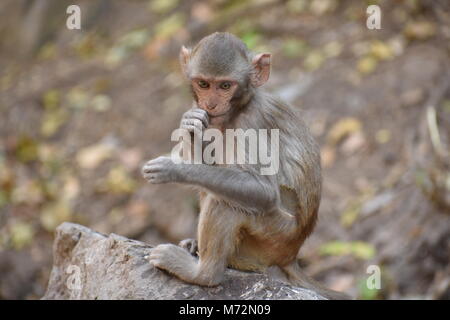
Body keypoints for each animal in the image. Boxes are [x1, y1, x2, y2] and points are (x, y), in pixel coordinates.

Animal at [142, 31, 350, 298]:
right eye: (203, 84)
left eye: (225, 86)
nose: (210, 105)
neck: (237, 110)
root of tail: (291, 255)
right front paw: (190, 125)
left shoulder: (252, 122)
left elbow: (263, 191)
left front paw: (174, 169)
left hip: (274, 235)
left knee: (225, 203)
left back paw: (202, 274)